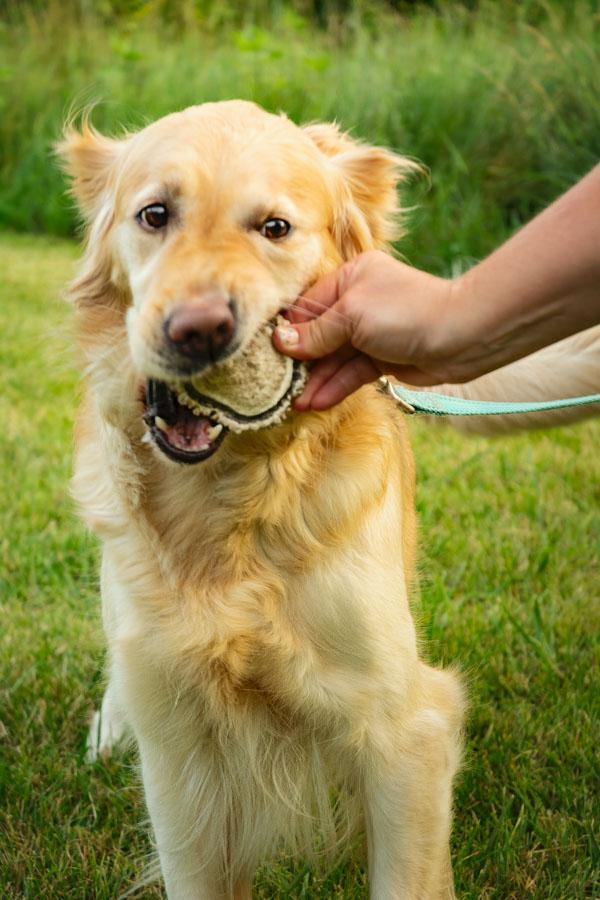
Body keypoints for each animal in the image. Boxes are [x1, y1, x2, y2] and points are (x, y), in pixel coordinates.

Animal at [58, 102, 466, 896]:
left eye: (275, 227)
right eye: (154, 214)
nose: (198, 331)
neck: (229, 504)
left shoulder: (405, 731)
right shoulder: (179, 752)